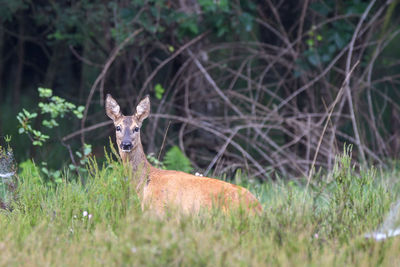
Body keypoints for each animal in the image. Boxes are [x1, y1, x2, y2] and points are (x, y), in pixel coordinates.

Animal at [106, 94, 262, 216]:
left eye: (136, 128)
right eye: (118, 127)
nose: (126, 144)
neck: (144, 183)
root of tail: (258, 208)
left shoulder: (159, 211)